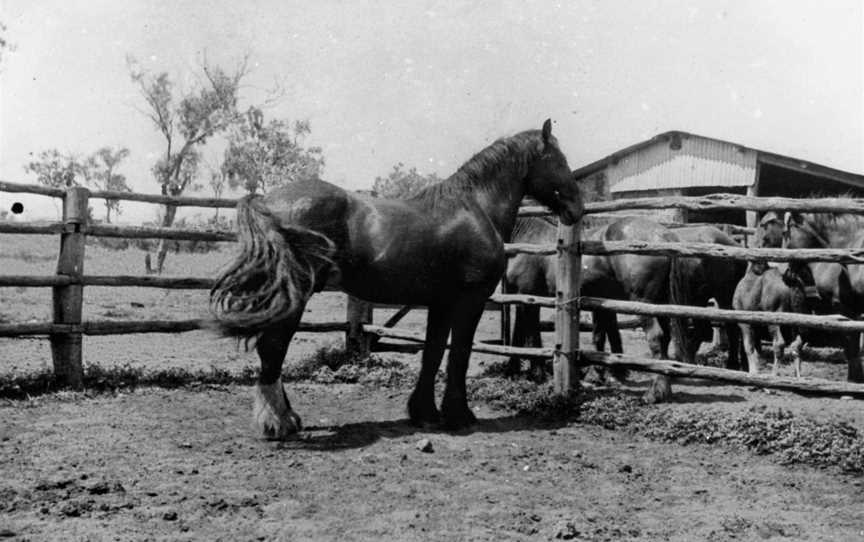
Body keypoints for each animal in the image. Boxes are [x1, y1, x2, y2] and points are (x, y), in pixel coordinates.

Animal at [210, 121, 584, 440]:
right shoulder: (470, 300)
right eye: (559, 160)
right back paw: (277, 424)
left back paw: (287, 418)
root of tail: (267, 201)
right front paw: (459, 415)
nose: (578, 208)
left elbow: (433, 352)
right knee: (273, 348)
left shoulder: (441, 302)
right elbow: (459, 353)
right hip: (296, 295)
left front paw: (425, 413)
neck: (475, 208)